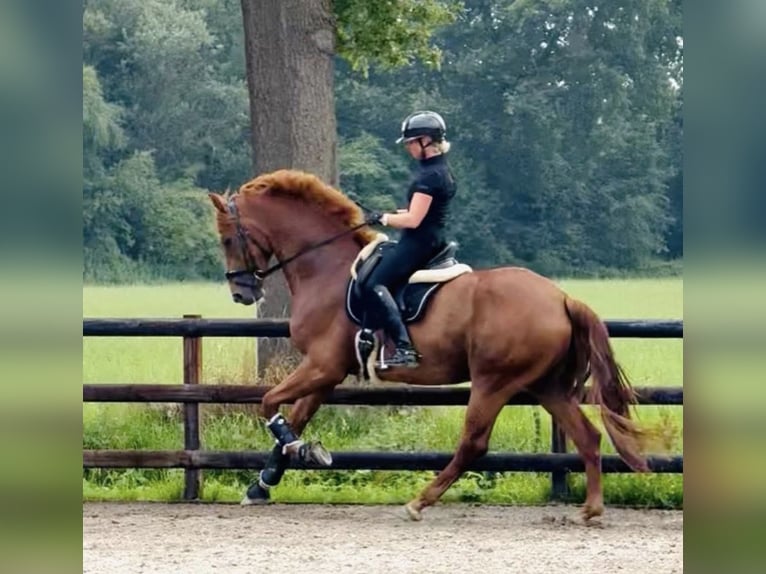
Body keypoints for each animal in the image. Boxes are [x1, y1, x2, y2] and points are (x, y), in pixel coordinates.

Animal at [208, 168, 650, 522]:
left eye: (228, 238)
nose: (241, 293)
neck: (325, 267)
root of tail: (560, 297)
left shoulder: (321, 365)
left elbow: (269, 403)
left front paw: (299, 452)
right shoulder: (327, 372)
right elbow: (296, 417)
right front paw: (265, 483)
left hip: (494, 380)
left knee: (474, 443)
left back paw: (419, 502)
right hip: (547, 385)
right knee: (588, 437)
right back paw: (591, 510)